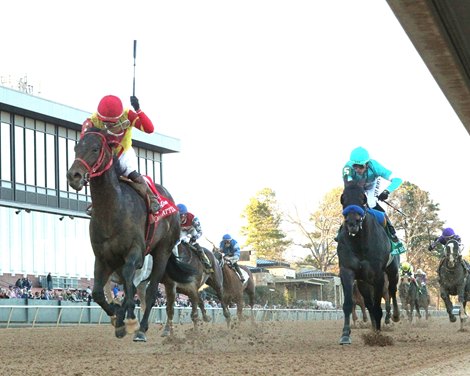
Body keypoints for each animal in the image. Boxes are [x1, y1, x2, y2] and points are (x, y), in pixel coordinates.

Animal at [65, 129, 196, 340]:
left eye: (95, 148)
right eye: (76, 147)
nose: (73, 176)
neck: (112, 210)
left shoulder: (135, 252)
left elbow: (129, 281)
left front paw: (130, 319)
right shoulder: (102, 257)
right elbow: (98, 293)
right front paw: (117, 318)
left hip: (162, 251)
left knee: (151, 291)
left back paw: (141, 329)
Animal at [338, 182, 400, 344]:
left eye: (363, 198)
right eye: (343, 198)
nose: (352, 223)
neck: (359, 243)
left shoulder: (378, 274)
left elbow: (379, 307)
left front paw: (378, 337)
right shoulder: (347, 270)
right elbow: (349, 304)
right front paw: (345, 335)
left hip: (393, 271)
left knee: (392, 290)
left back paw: (395, 316)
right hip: (363, 283)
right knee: (369, 304)